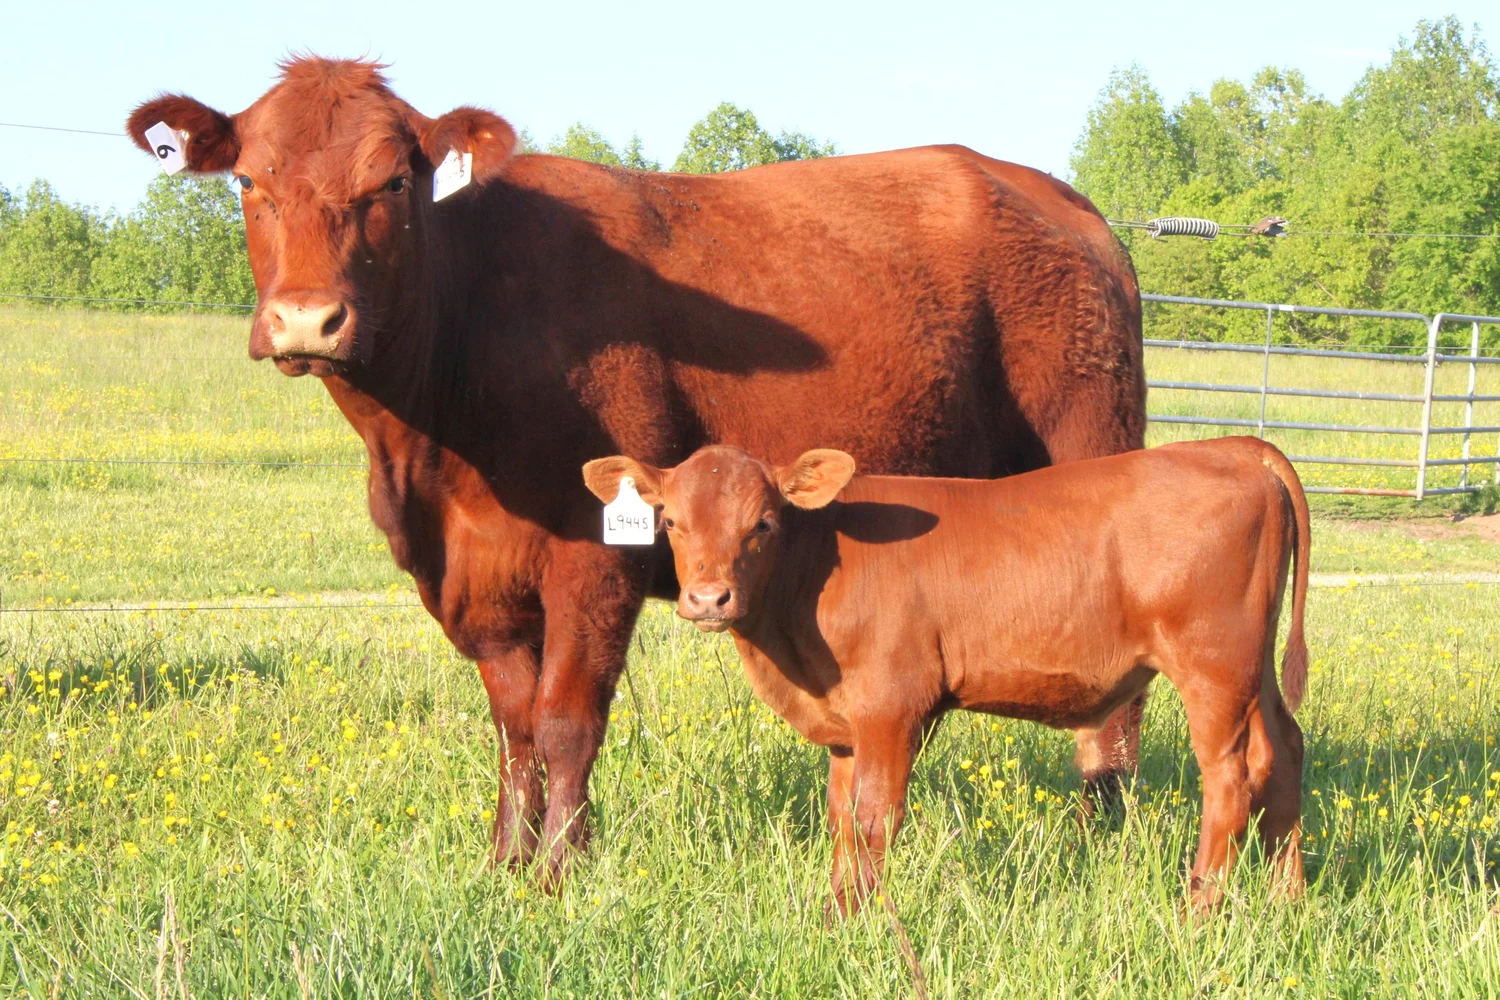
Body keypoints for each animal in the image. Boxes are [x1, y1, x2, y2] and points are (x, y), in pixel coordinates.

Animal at [127, 57, 1147, 884]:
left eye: (392, 181)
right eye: (249, 180)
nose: (307, 321)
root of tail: (1055, 197)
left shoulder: (596, 558)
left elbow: (567, 720)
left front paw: (558, 873)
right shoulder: (476, 579)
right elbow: (514, 727)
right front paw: (504, 862)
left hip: (1093, 456)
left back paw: (1108, 837)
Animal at [582, 436, 1309, 914]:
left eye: (762, 522)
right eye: (671, 520)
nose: (709, 599)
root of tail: (1235, 447)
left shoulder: (891, 705)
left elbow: (875, 817)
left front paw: (861, 923)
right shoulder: (847, 725)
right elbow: (841, 819)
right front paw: (833, 915)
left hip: (1214, 666)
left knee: (1230, 780)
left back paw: (1199, 915)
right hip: (1255, 670)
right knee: (1282, 755)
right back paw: (1288, 901)